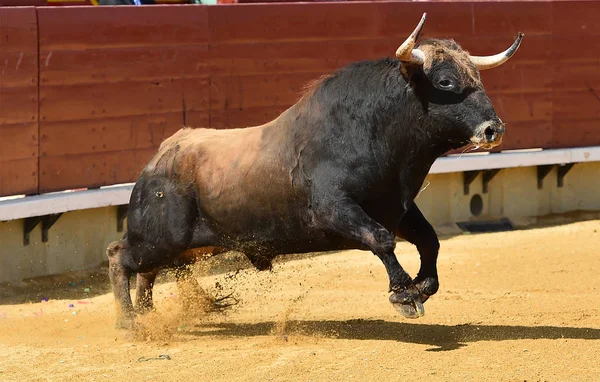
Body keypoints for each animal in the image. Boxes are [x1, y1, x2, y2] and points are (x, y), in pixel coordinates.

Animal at [106, 13, 520, 330]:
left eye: (477, 77)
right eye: (446, 81)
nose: (493, 129)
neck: (374, 131)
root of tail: (160, 156)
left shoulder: (396, 207)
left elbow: (429, 240)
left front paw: (422, 286)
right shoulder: (335, 209)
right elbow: (382, 240)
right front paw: (405, 294)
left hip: (181, 246)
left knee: (150, 271)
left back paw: (149, 316)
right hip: (160, 239)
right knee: (119, 256)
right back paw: (130, 322)